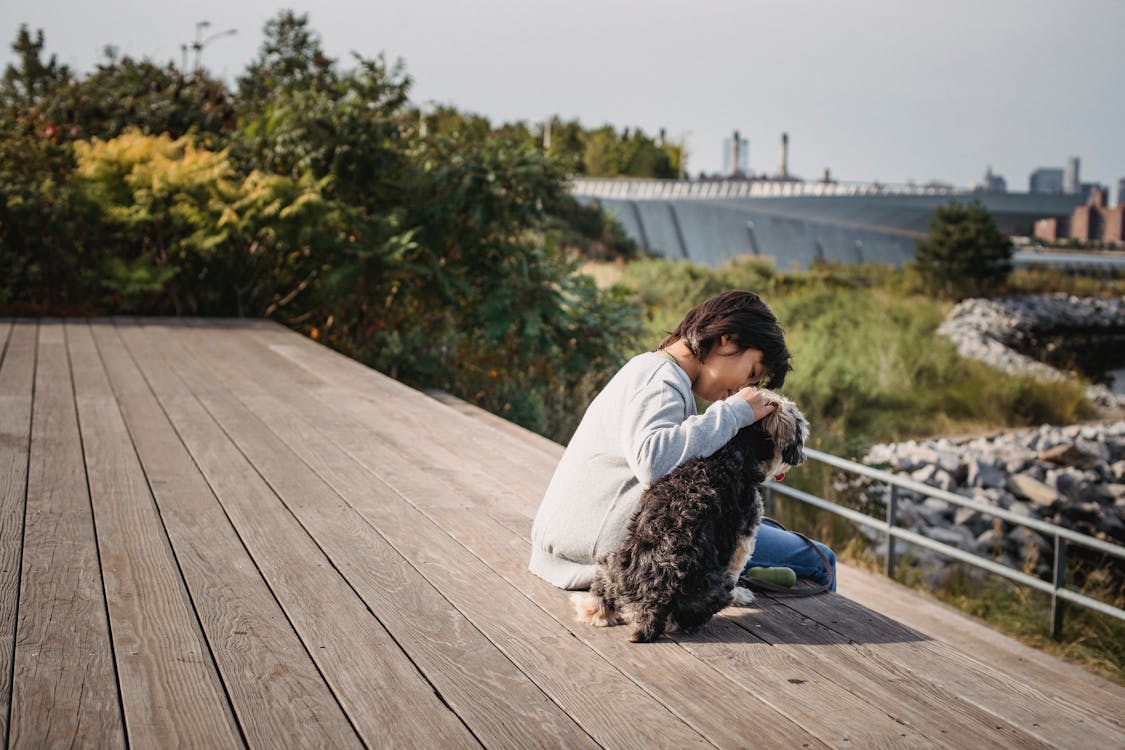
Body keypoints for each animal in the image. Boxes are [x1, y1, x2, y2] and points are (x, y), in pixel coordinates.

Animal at [576, 391, 805, 643]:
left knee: (601, 599)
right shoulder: (744, 540)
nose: (802, 456)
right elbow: (738, 569)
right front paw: (742, 594)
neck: (730, 450)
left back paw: (592, 610)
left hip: (610, 561)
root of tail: (650, 603)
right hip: (716, 587)